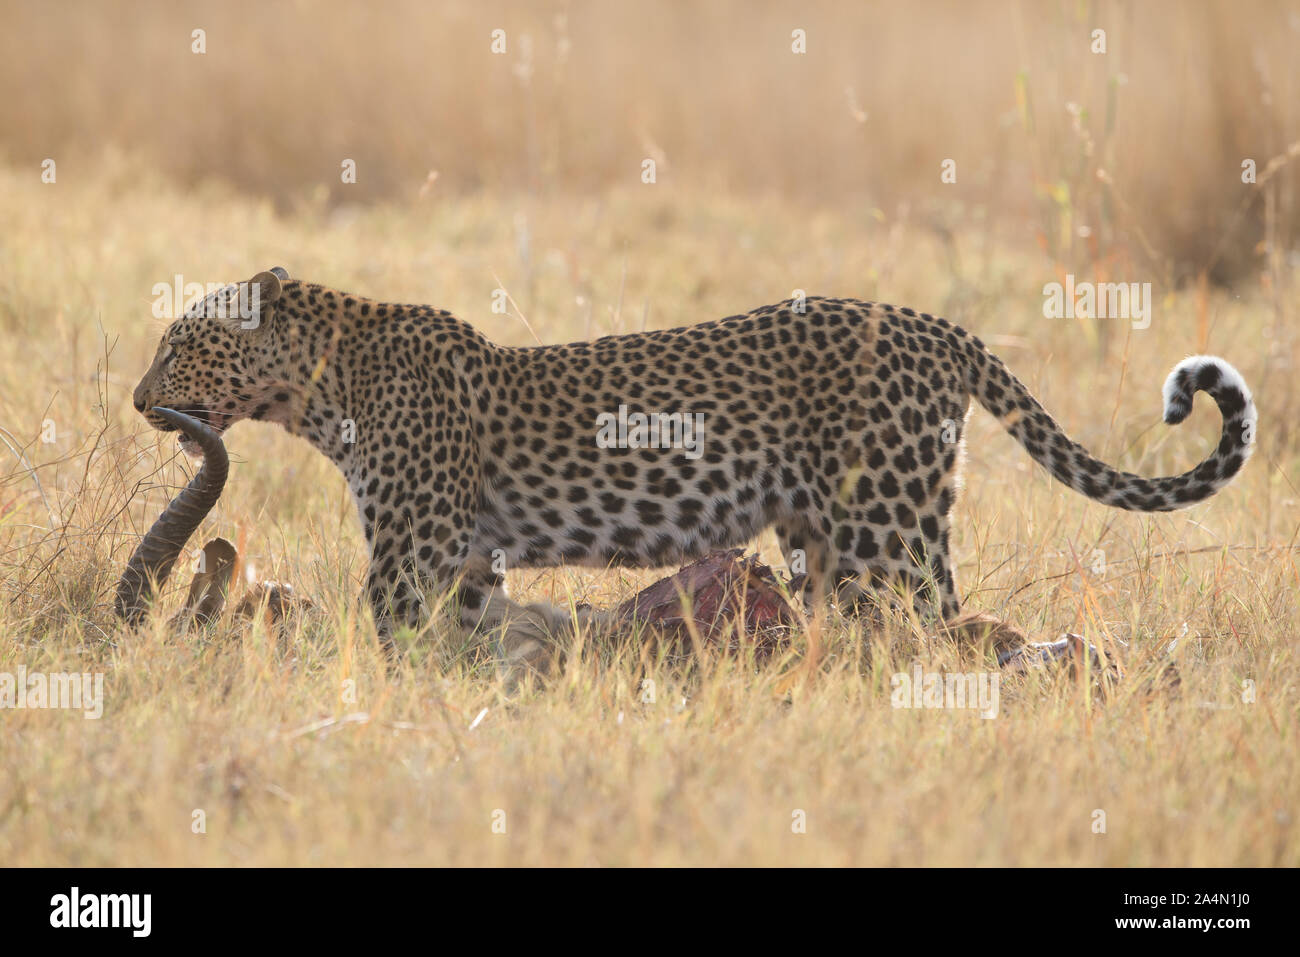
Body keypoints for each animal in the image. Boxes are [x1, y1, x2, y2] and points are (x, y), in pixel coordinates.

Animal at [134, 267, 1258, 670]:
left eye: (183, 343)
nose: (143, 400)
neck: (320, 384)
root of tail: (935, 325)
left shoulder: (412, 554)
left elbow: (395, 640)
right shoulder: (467, 560)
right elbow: (463, 642)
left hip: (888, 531)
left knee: (942, 630)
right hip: (826, 537)